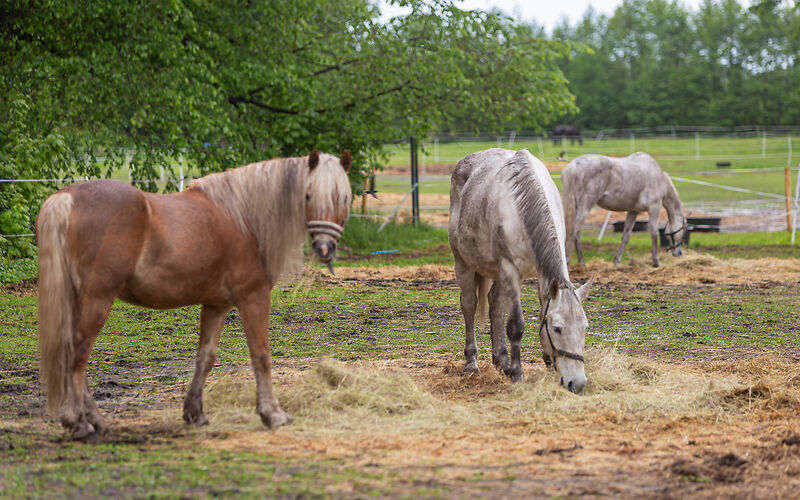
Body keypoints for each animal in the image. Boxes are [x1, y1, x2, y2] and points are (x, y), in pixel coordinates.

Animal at [36, 150, 352, 440]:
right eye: (308, 195)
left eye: (345, 198)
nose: (325, 248)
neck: (244, 220)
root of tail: (65, 198)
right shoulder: (254, 298)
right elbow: (261, 355)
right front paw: (273, 414)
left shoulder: (217, 305)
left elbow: (206, 357)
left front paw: (195, 413)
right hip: (98, 299)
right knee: (78, 353)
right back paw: (78, 423)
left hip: (77, 300)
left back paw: (94, 421)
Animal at [448, 148, 592, 393]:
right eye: (557, 328)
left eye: (584, 328)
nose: (577, 383)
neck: (520, 208)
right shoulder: (510, 270)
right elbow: (516, 325)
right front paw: (517, 373)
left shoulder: (539, 276)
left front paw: (546, 363)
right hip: (463, 263)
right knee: (469, 305)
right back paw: (472, 363)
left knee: (495, 304)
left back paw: (501, 360)